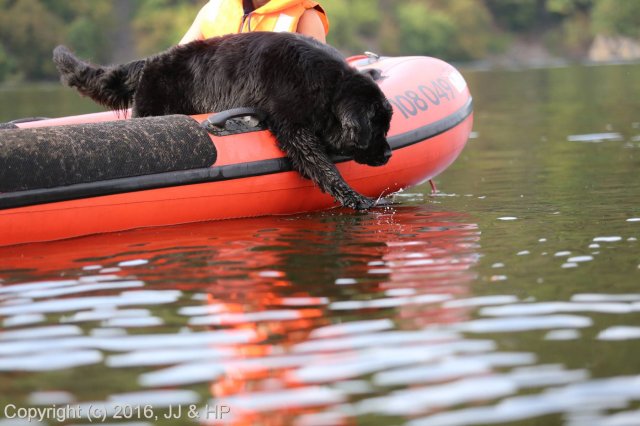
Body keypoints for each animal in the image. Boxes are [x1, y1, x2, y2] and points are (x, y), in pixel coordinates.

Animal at [53, 32, 396, 211]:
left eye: (387, 126)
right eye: (377, 127)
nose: (389, 154)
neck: (327, 86)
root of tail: (148, 62)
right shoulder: (291, 126)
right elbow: (321, 165)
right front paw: (357, 199)